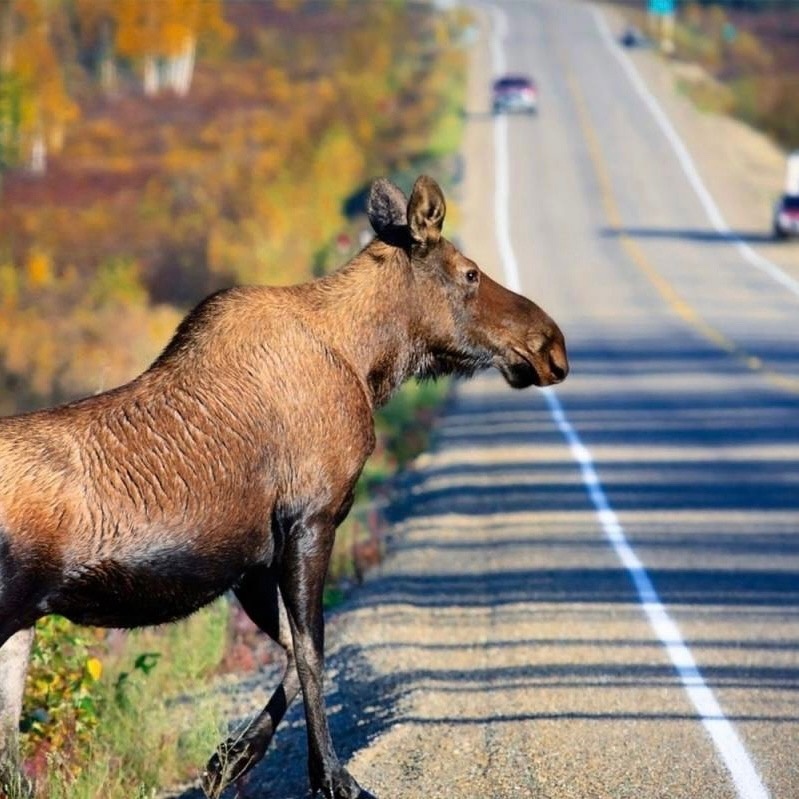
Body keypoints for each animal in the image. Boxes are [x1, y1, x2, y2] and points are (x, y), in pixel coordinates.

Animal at [0, 177, 568, 799]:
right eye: (469, 273)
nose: (552, 346)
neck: (367, 363)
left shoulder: (251, 561)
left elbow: (297, 650)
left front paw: (231, 757)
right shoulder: (308, 521)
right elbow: (313, 650)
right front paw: (331, 778)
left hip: (21, 624)